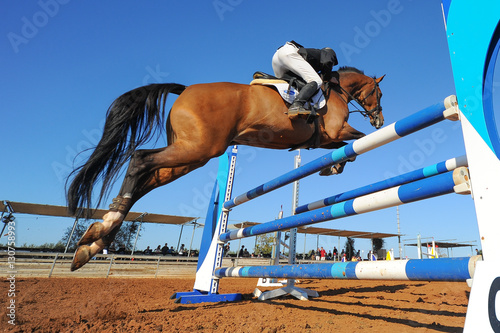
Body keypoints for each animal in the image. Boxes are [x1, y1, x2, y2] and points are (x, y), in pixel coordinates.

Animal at [67, 65, 382, 270]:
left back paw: (92, 242)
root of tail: (184, 90)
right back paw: (105, 226)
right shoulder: (334, 131)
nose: (379, 120)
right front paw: (335, 167)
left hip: (191, 156)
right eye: (378, 93)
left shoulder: (325, 139)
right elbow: (356, 140)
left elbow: (351, 144)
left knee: (147, 178)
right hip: (198, 148)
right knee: (139, 160)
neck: (336, 91)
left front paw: (335, 165)